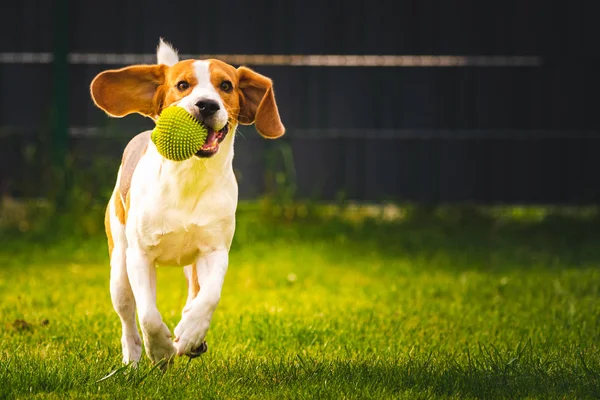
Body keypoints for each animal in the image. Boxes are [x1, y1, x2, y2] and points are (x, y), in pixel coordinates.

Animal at [89, 39, 286, 366]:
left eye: (226, 85)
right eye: (182, 85)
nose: (207, 104)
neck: (189, 177)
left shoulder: (215, 250)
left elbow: (210, 296)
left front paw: (191, 332)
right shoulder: (139, 256)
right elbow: (148, 315)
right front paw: (160, 349)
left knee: (194, 291)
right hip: (118, 267)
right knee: (128, 314)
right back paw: (132, 358)